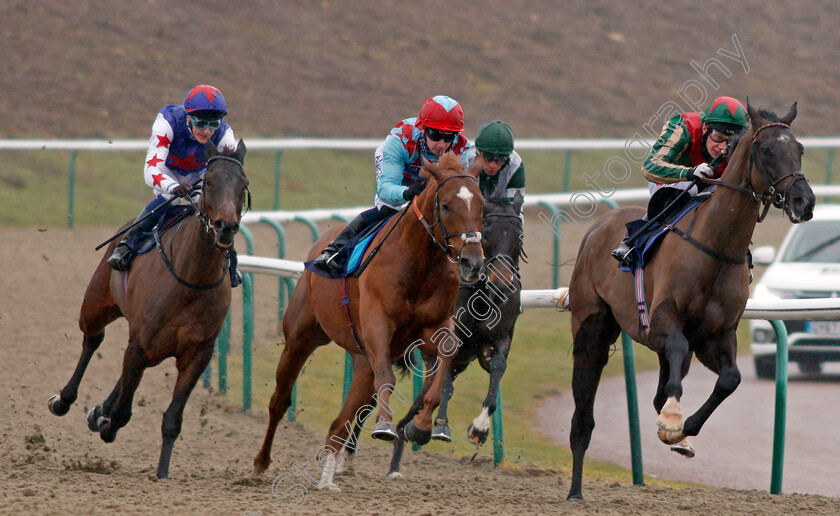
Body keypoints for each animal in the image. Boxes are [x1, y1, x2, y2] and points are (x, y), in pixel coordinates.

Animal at [48, 141, 249, 480]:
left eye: (243, 185)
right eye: (209, 181)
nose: (225, 226)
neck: (192, 278)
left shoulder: (197, 353)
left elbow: (172, 419)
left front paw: (162, 473)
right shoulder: (142, 340)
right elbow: (123, 410)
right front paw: (106, 422)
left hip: (152, 346)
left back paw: (100, 410)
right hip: (97, 304)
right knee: (93, 340)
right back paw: (64, 400)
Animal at [253, 151, 482, 490]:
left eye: (481, 203)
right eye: (446, 205)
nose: (473, 261)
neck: (419, 263)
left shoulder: (436, 327)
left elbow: (443, 366)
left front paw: (423, 426)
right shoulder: (377, 325)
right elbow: (386, 376)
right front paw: (385, 425)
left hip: (360, 360)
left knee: (341, 421)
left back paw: (327, 478)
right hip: (300, 337)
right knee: (279, 400)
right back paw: (261, 462)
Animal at [564, 101, 812, 500]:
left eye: (800, 149)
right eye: (766, 149)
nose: (805, 201)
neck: (716, 248)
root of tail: (599, 226)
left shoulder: (716, 337)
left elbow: (730, 378)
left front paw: (679, 429)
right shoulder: (663, 322)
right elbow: (678, 347)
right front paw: (671, 418)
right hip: (592, 328)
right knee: (583, 412)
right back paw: (575, 490)